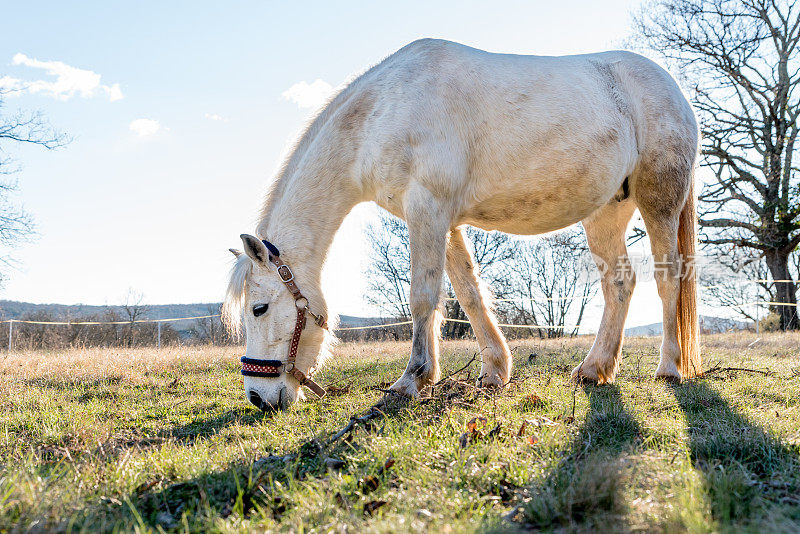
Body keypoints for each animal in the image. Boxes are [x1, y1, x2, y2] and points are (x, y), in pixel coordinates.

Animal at [225, 39, 700, 412]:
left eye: (259, 308)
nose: (258, 398)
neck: (384, 110)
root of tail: (674, 89)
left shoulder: (428, 210)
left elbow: (423, 297)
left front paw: (411, 380)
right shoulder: (442, 221)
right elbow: (467, 295)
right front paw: (494, 372)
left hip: (659, 202)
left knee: (668, 279)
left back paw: (669, 368)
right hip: (606, 211)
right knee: (619, 283)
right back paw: (594, 369)